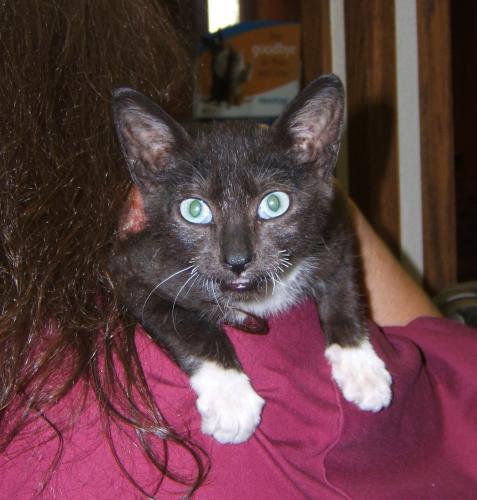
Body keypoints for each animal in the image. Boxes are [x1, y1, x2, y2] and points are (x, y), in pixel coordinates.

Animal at [109, 74, 392, 444]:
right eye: (194, 210)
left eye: (274, 204)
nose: (237, 259)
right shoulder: (128, 267)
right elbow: (190, 326)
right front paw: (230, 399)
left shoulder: (337, 224)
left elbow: (343, 290)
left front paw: (360, 364)